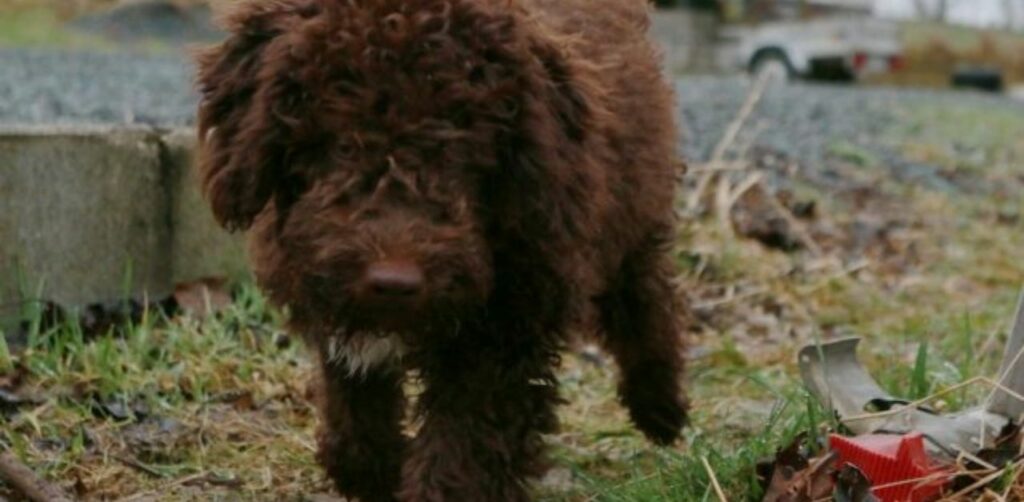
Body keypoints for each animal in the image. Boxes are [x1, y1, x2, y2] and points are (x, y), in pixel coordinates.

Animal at [193, 0, 688, 497]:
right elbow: (354, 409)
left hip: (632, 211)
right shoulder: (335, 305)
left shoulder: (507, 329)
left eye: (460, 154)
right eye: (341, 145)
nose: (394, 282)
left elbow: (464, 446)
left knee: (644, 297)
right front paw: (372, 472)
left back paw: (661, 408)